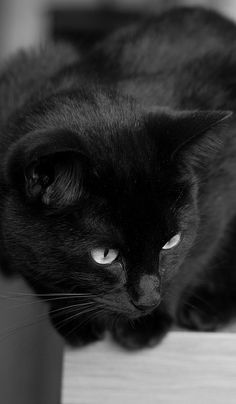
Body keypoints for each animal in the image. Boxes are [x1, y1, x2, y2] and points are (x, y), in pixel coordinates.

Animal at [0, 6, 236, 348]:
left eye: (172, 242)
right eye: (105, 255)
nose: (148, 300)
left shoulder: (218, 193)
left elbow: (195, 254)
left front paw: (147, 324)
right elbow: (33, 266)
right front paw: (75, 321)